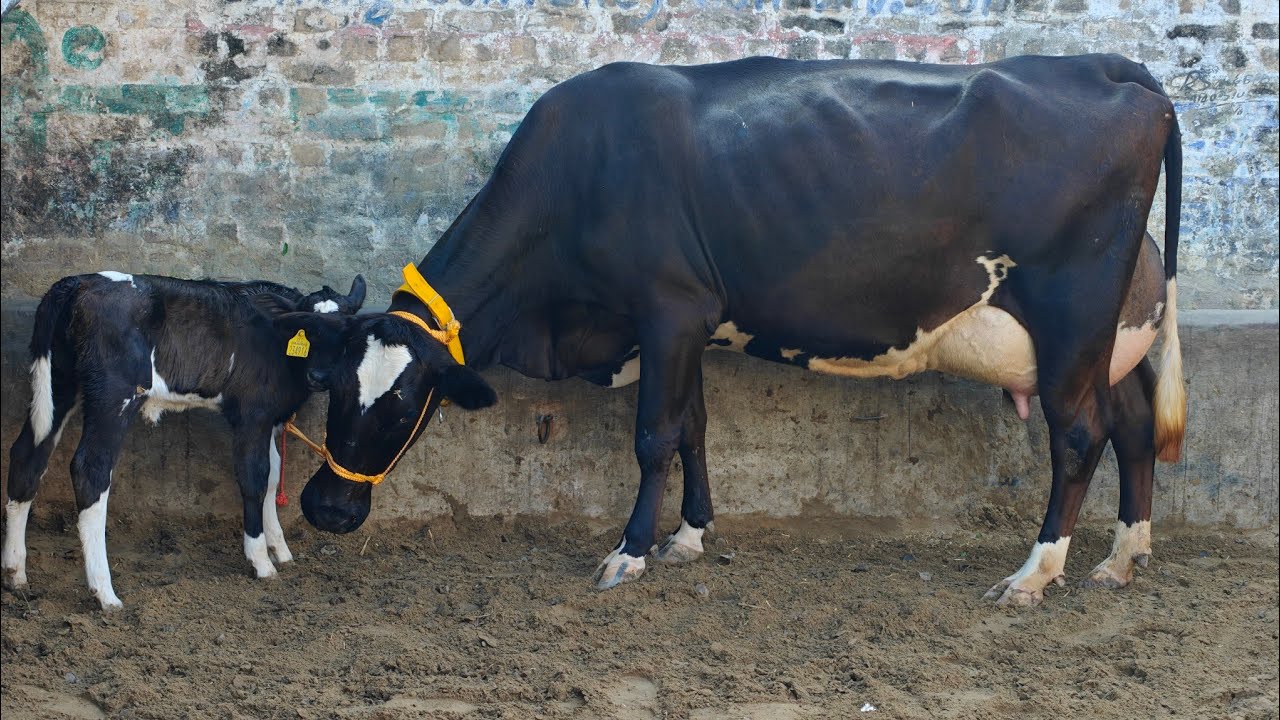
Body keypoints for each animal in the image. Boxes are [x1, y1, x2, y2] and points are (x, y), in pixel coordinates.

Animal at [3, 271, 366, 609]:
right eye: (307, 329)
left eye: (346, 334)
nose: (319, 376)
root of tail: (79, 281)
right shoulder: (251, 414)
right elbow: (255, 479)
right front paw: (261, 561)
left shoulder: (270, 421)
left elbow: (274, 476)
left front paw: (281, 549)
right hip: (114, 394)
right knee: (90, 470)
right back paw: (105, 593)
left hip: (60, 382)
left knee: (27, 456)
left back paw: (15, 573)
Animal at [280, 54, 1186, 606]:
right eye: (329, 387)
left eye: (402, 406)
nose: (323, 507)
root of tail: (1102, 65)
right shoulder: (691, 328)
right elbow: (694, 427)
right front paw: (689, 536)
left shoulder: (669, 308)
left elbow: (653, 436)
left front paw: (630, 552)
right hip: (1109, 340)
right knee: (1134, 427)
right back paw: (1119, 559)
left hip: (1071, 313)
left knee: (1079, 436)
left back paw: (1035, 572)